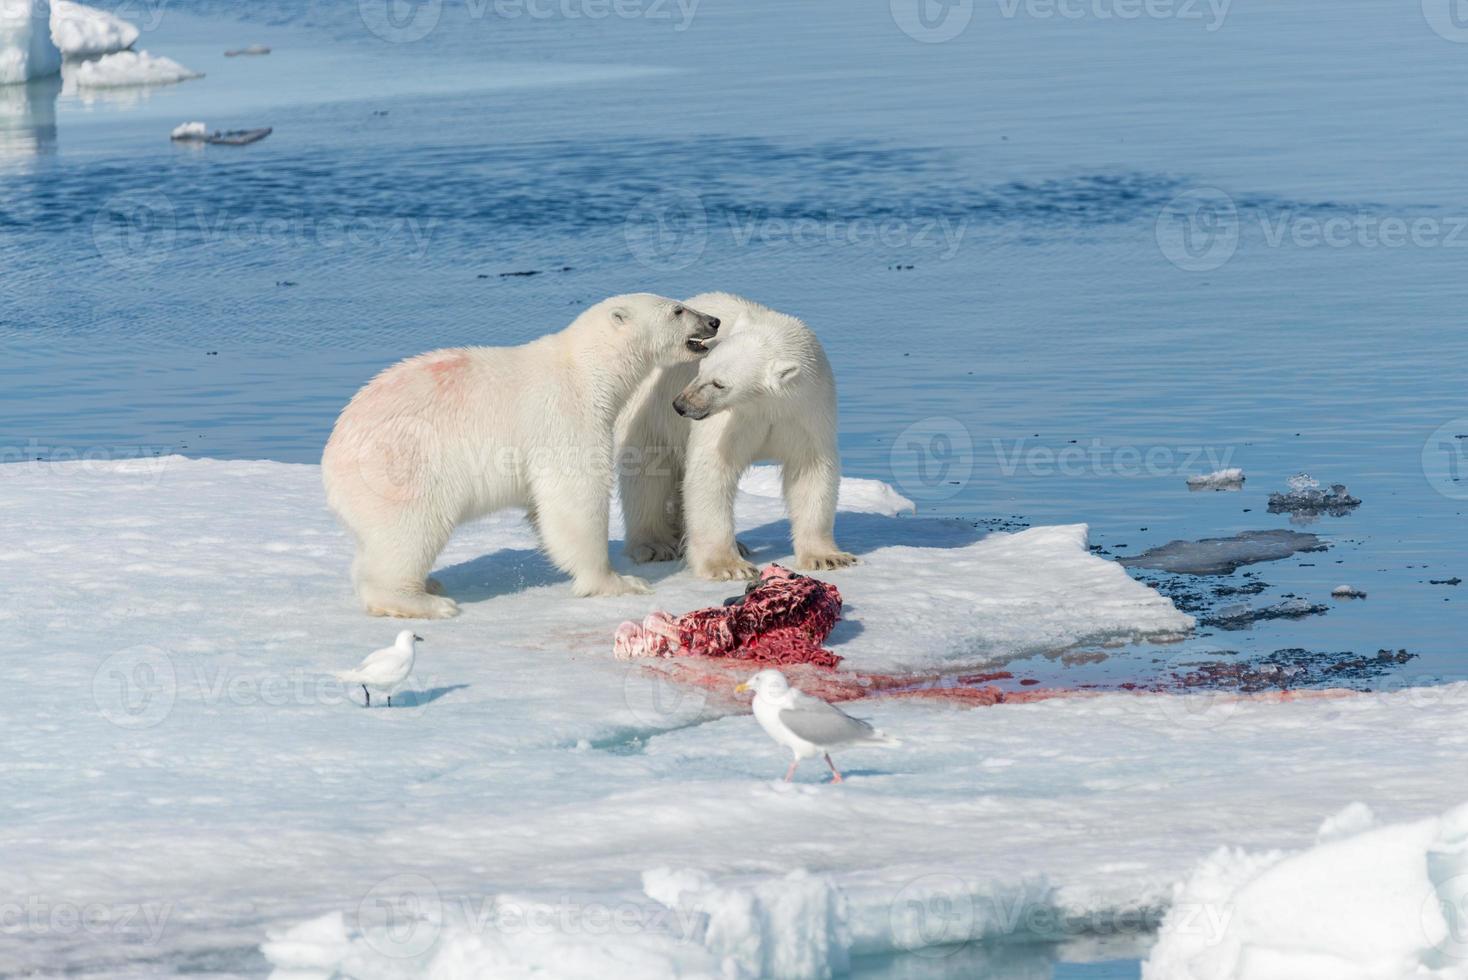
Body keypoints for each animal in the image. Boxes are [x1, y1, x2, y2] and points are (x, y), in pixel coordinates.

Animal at [322, 294, 722, 616]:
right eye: (678, 309)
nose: (714, 321)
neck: (586, 370)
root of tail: (331, 458)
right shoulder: (564, 416)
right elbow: (573, 496)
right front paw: (618, 581)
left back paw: (428, 583)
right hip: (401, 466)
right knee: (410, 530)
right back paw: (424, 601)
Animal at [613, 290, 857, 580]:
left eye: (719, 383)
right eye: (701, 368)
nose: (681, 405)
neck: (764, 404)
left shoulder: (806, 412)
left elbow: (809, 469)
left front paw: (827, 557)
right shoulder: (732, 421)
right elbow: (712, 470)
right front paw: (728, 566)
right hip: (647, 412)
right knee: (647, 475)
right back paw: (655, 545)